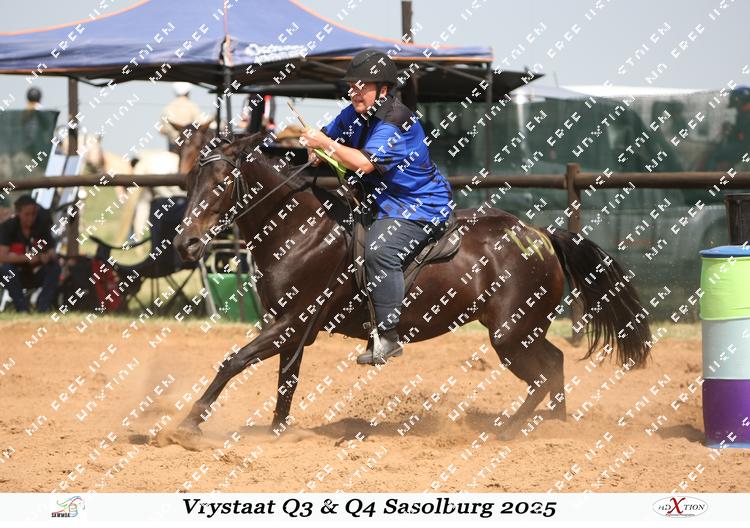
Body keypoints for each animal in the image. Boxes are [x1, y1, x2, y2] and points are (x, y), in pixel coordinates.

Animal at [171, 132, 652, 442]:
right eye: (190, 181)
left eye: (220, 183)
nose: (185, 242)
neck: (302, 230)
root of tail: (541, 235)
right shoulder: (291, 328)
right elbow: (285, 380)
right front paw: (276, 431)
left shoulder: (290, 322)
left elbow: (233, 361)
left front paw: (189, 424)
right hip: (523, 331)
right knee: (555, 366)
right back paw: (556, 427)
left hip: (511, 333)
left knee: (546, 373)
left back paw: (515, 431)